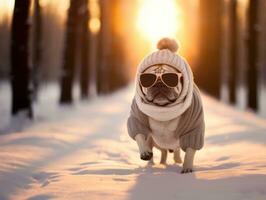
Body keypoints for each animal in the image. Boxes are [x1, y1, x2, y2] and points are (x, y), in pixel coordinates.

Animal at [127, 37, 206, 173]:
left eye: (170, 78)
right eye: (148, 79)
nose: (159, 83)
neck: (163, 109)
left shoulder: (194, 128)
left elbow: (190, 150)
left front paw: (187, 167)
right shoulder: (137, 118)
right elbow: (139, 135)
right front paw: (145, 152)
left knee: (176, 150)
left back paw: (177, 161)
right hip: (155, 142)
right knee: (160, 151)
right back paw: (154, 164)